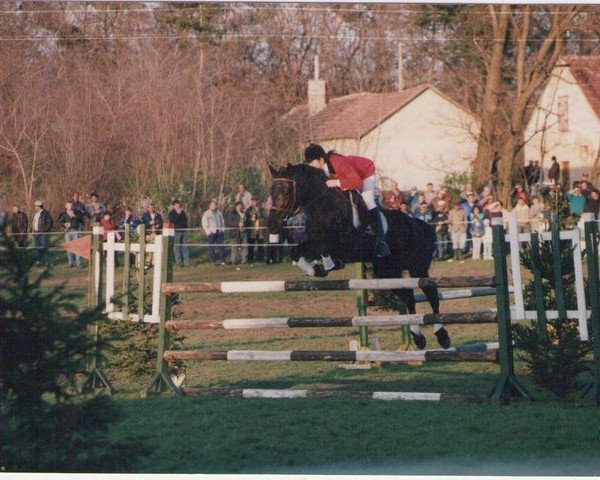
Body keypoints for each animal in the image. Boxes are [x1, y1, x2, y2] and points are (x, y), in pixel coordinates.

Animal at [268, 163, 450, 350]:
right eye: (271, 191)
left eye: (286, 191)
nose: (272, 224)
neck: (323, 206)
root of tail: (419, 224)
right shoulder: (313, 241)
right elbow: (296, 252)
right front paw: (316, 270)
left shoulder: (343, 245)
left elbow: (323, 247)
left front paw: (326, 265)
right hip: (387, 272)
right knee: (408, 297)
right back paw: (418, 337)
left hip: (416, 267)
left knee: (431, 294)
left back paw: (442, 336)